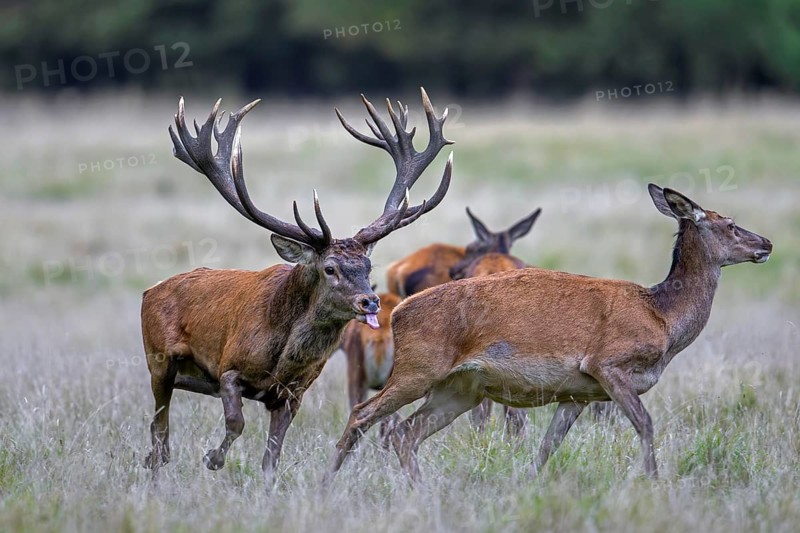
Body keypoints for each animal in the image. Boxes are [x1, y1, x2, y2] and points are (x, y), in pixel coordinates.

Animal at [141, 88, 454, 488]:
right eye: (330, 268)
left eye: (368, 266)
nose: (370, 302)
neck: (283, 358)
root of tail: (150, 291)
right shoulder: (229, 367)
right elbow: (236, 421)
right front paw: (212, 457)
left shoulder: (293, 394)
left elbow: (271, 458)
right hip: (159, 361)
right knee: (159, 432)